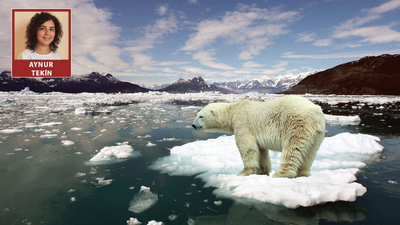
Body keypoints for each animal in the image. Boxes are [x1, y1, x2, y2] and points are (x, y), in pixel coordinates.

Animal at [192, 96, 326, 178]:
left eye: (201, 116)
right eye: (197, 115)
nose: (193, 125)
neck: (233, 111)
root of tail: (316, 112)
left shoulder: (243, 123)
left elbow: (247, 147)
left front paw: (243, 172)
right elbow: (261, 150)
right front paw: (262, 171)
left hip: (296, 123)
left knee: (292, 147)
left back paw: (282, 173)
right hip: (316, 133)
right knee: (310, 153)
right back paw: (303, 173)